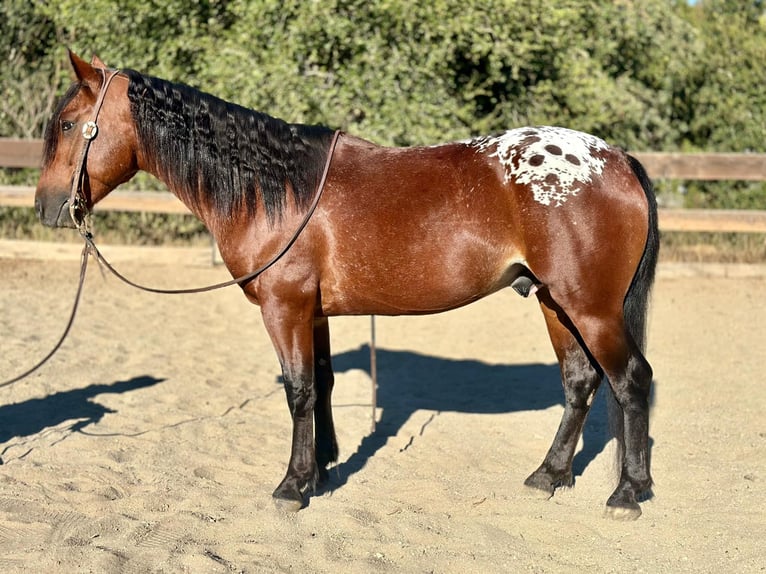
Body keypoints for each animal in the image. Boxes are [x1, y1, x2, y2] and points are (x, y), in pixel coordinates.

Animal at [35, 51, 659, 519]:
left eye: (66, 125)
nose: (47, 208)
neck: (277, 190)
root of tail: (615, 158)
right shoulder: (312, 312)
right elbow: (324, 384)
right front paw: (322, 467)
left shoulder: (284, 308)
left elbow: (298, 391)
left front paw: (293, 485)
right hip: (556, 302)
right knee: (580, 382)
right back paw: (549, 475)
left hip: (591, 308)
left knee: (631, 380)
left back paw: (627, 493)